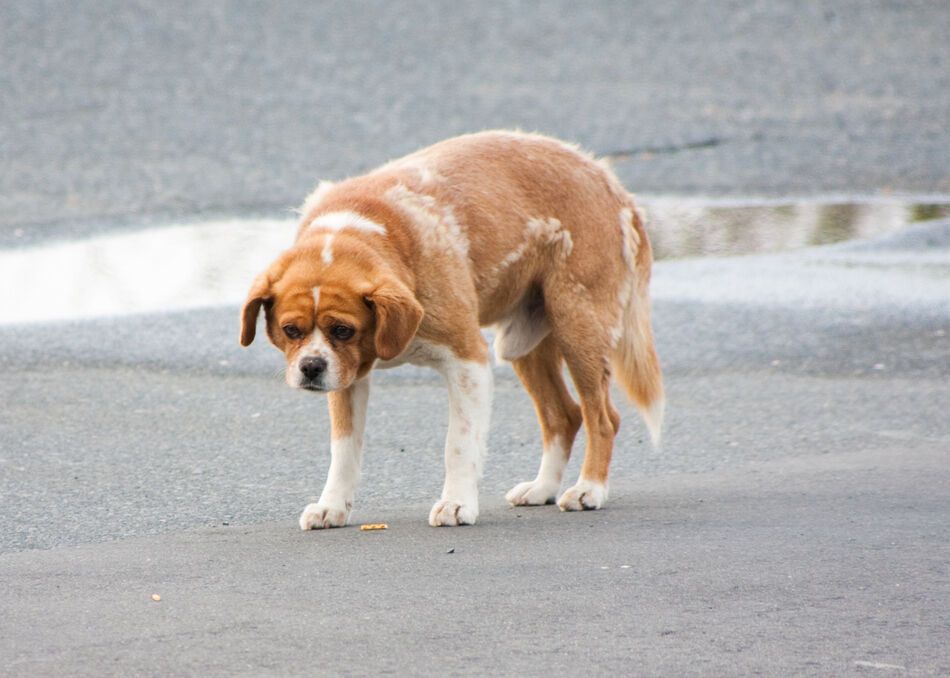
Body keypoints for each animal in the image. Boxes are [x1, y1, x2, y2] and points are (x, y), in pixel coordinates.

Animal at [242, 130, 664, 528]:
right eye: (291, 329)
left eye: (343, 330)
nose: (311, 368)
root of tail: (609, 179)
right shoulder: (348, 378)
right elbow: (344, 450)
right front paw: (332, 506)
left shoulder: (467, 361)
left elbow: (458, 443)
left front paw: (457, 503)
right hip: (523, 345)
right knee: (564, 415)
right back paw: (542, 488)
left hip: (578, 328)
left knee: (602, 417)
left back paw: (589, 488)